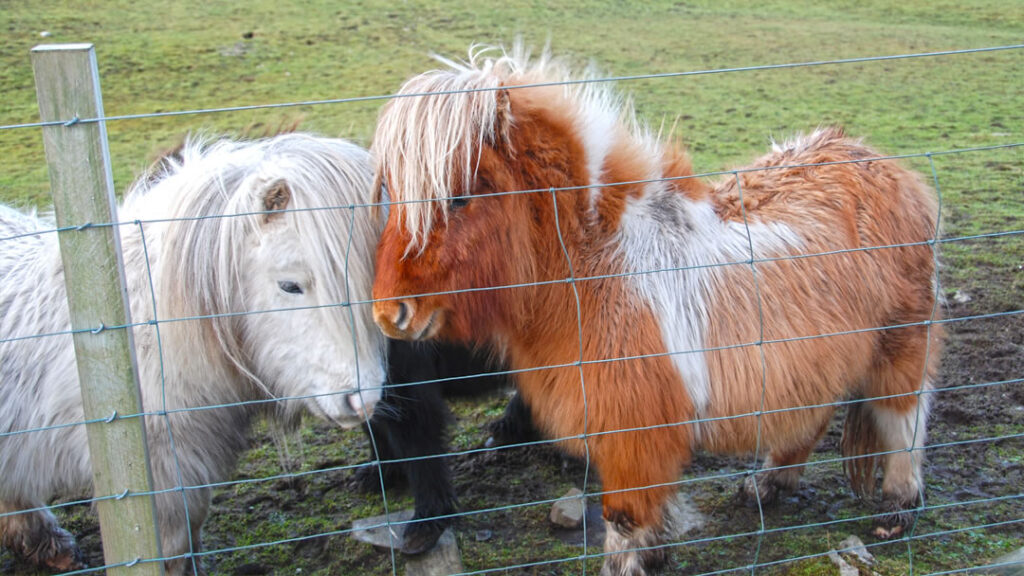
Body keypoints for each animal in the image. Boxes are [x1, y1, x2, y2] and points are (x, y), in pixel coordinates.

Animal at [369, 46, 943, 575]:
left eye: (460, 197)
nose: (390, 315)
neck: (598, 266)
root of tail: (881, 164)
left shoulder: (634, 434)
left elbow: (624, 519)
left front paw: (629, 565)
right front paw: (656, 554)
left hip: (901, 343)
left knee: (905, 418)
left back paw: (897, 509)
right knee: (810, 416)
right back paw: (766, 485)